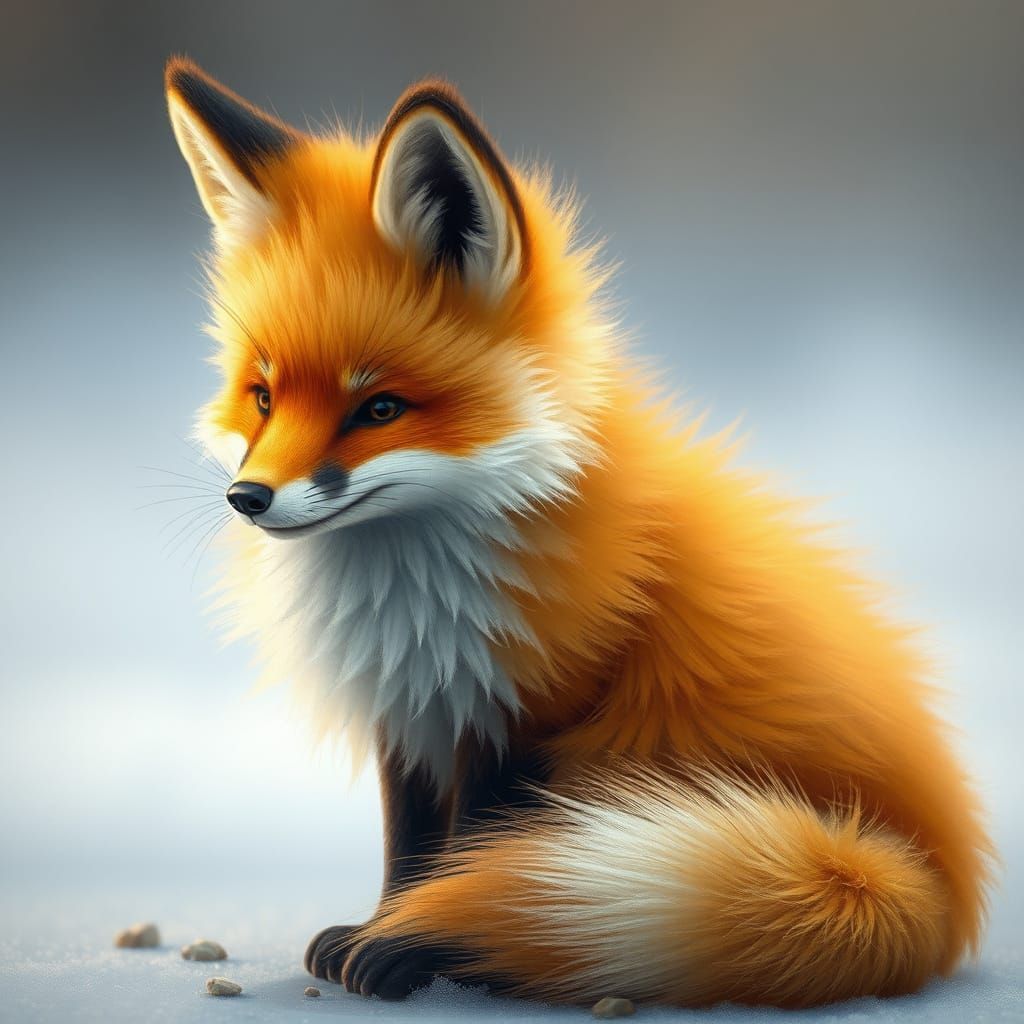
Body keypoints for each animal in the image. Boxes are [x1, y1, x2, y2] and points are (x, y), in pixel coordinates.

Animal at [164, 57, 992, 1008]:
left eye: (378, 409)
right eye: (263, 397)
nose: (249, 498)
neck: (414, 601)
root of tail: (941, 896)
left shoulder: (532, 710)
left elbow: (468, 852)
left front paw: (417, 948)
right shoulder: (412, 714)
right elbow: (410, 849)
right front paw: (384, 928)